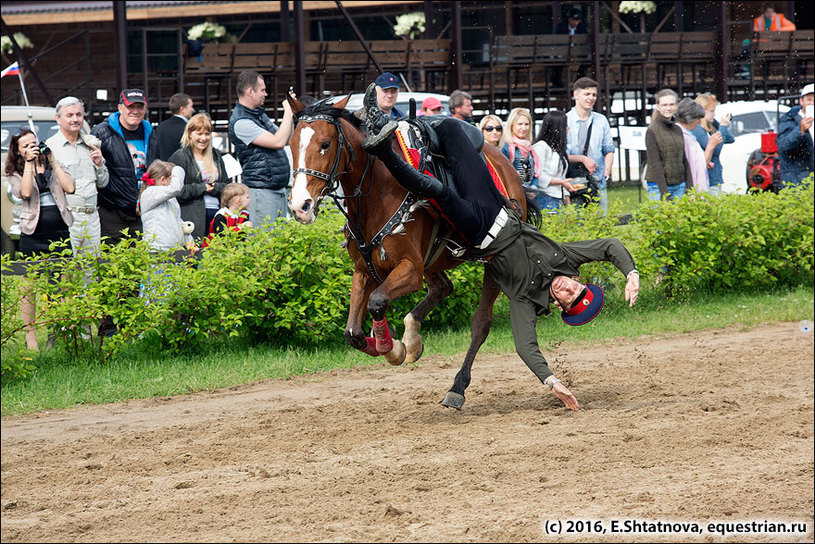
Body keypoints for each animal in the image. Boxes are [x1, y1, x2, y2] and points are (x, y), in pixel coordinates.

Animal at [288, 93, 536, 408]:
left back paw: (457, 386)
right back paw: (413, 334)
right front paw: (396, 343)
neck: (377, 191)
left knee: (481, 323)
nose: (300, 205)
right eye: (292, 144)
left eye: (325, 144)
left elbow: (377, 302)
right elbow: (352, 333)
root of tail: (508, 166)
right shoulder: (365, 270)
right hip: (434, 260)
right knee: (443, 288)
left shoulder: (409, 269)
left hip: (490, 256)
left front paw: (392, 347)